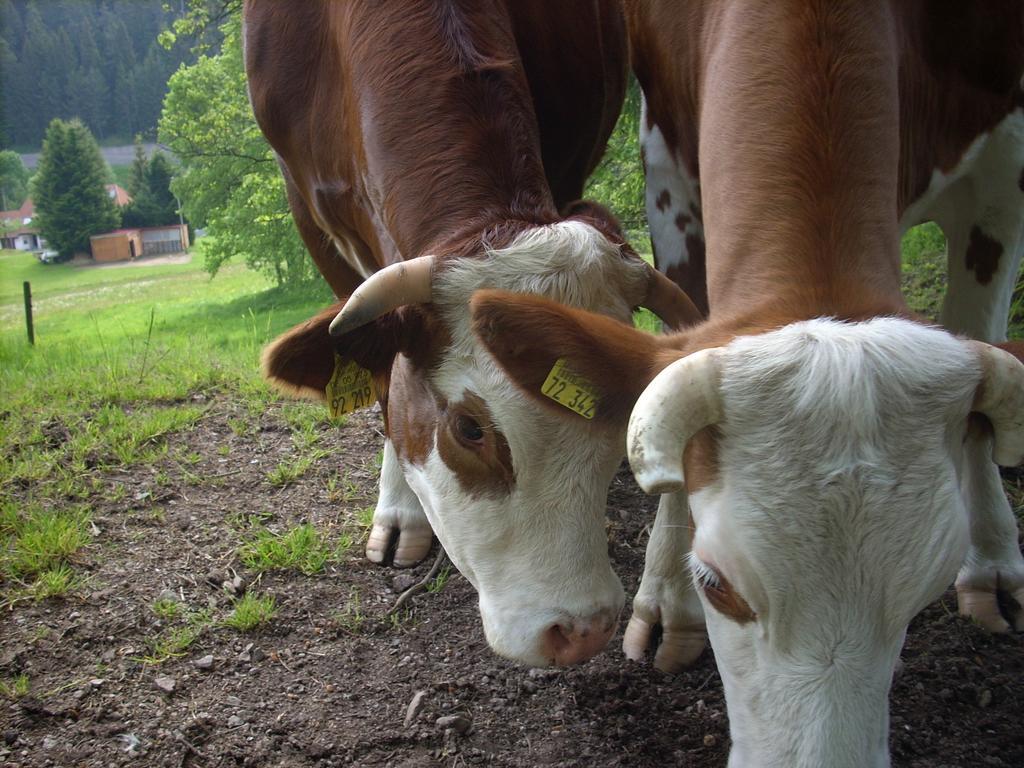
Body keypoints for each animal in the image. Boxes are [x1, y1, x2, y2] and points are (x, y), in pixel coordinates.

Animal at [468, 0, 1024, 765]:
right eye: (716, 585)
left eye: (927, 590)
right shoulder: (670, 171)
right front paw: (666, 599)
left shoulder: (1002, 165)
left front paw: (992, 556)